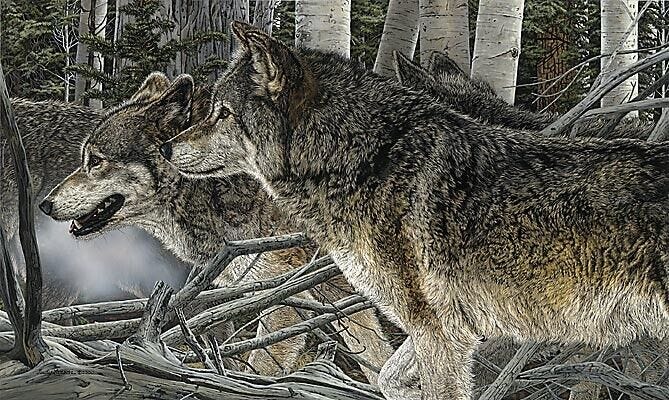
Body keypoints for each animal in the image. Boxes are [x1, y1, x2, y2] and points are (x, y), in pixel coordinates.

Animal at [39, 72, 394, 380]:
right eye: (84, 158)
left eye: (96, 161)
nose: (45, 204)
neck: (214, 185)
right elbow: (378, 356)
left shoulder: (284, 295)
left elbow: (262, 365)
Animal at [161, 22, 669, 400]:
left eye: (223, 112)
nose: (166, 148)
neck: (367, 160)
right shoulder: (445, 332)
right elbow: (387, 375)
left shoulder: (440, 333)